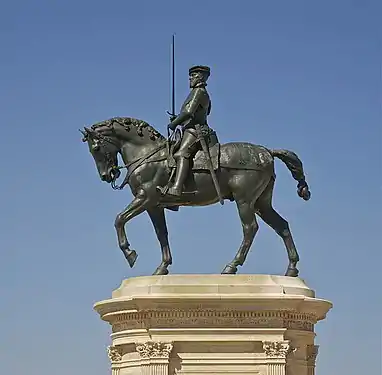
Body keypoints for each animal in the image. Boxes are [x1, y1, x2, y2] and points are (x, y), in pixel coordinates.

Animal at [80, 116, 310, 278]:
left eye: (96, 148)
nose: (106, 175)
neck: (147, 154)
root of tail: (266, 152)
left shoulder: (146, 198)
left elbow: (119, 219)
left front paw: (130, 253)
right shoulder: (154, 206)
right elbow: (161, 234)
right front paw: (162, 267)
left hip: (244, 201)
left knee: (250, 229)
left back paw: (231, 266)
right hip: (261, 203)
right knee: (282, 225)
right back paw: (291, 269)